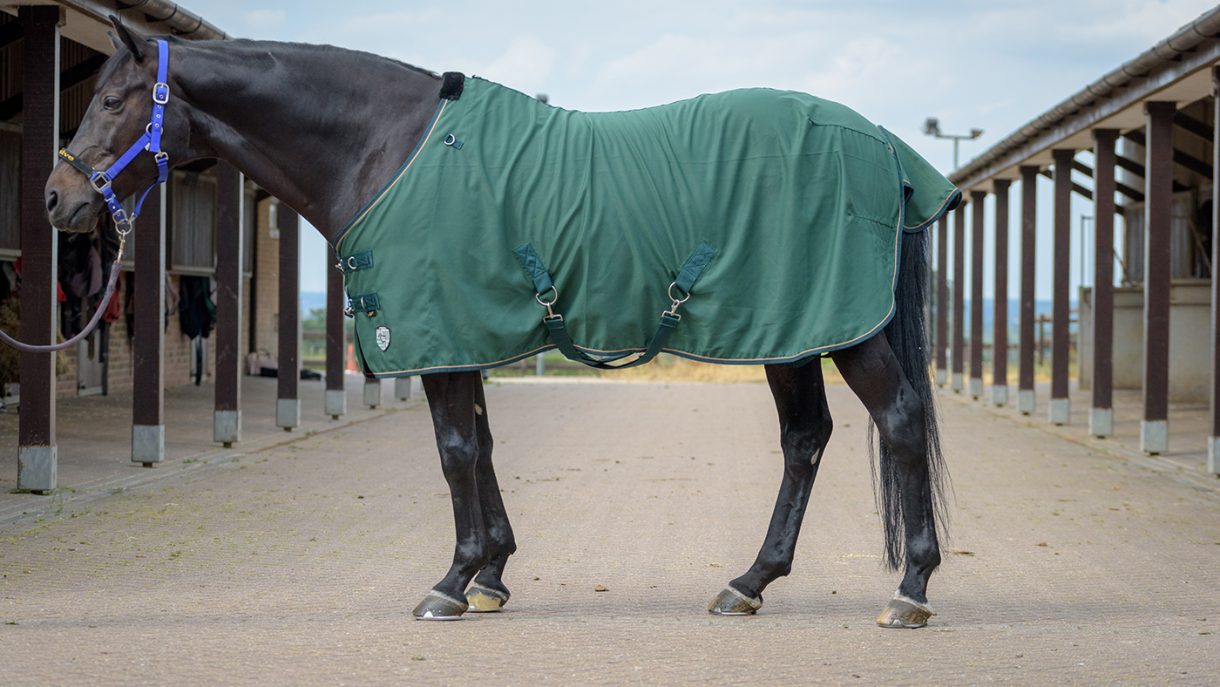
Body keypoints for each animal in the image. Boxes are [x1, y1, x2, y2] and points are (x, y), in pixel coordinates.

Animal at [44, 17, 955, 628]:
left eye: (115, 99)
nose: (58, 199)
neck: (387, 148)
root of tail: (882, 142)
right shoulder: (462, 333)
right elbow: (479, 445)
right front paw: (492, 575)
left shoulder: (438, 338)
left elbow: (453, 452)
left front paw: (451, 582)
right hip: (793, 334)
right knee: (806, 438)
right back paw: (749, 581)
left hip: (839, 331)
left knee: (900, 419)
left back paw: (910, 589)